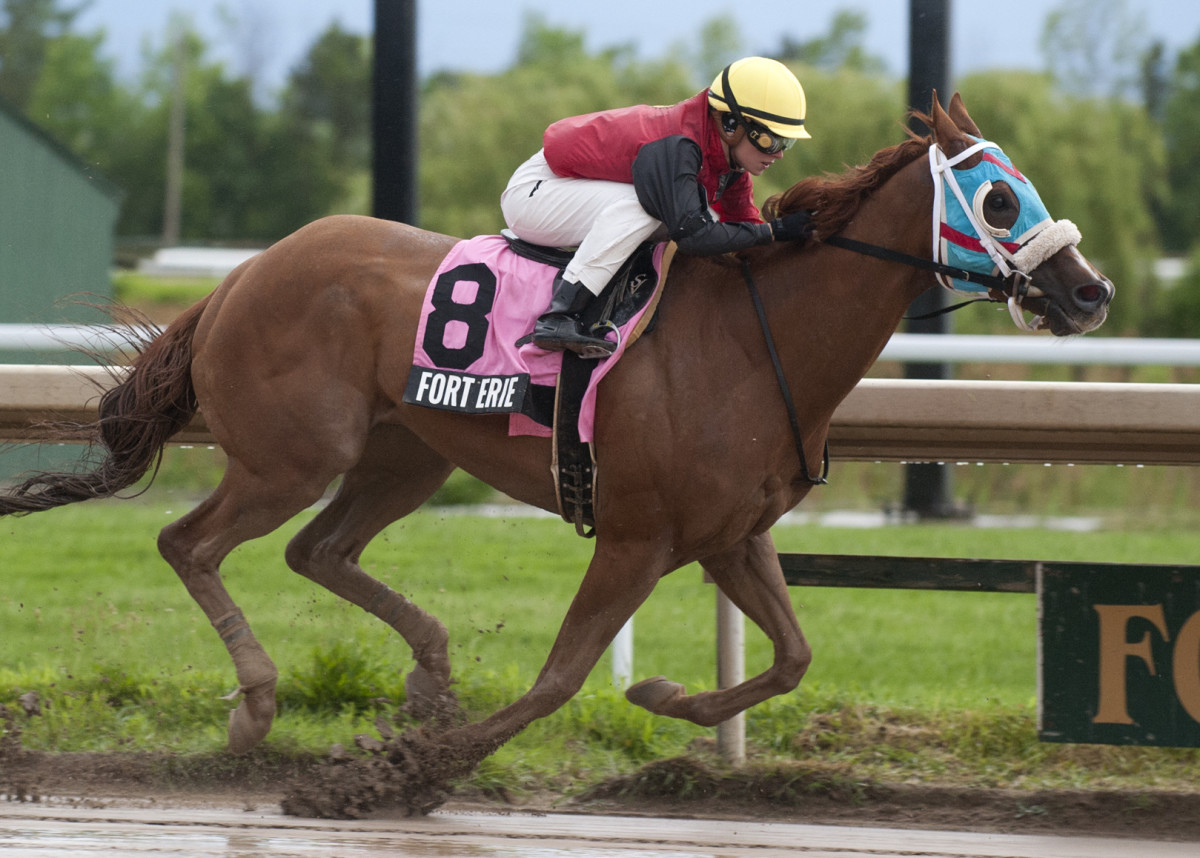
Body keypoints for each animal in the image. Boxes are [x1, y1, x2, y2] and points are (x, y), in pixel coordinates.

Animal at [2, 95, 1113, 792]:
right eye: (1000, 197)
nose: (1090, 290)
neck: (752, 336)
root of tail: (240, 275)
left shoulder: (728, 535)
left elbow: (793, 658)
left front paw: (664, 695)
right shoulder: (634, 537)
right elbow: (559, 678)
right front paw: (407, 777)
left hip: (407, 455)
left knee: (317, 550)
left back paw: (429, 676)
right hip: (293, 457)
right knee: (189, 543)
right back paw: (260, 705)